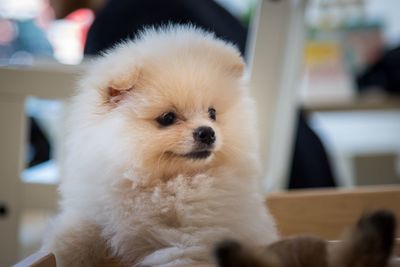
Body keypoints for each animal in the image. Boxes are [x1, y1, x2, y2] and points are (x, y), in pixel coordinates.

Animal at [41, 25, 278, 267]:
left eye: (212, 113)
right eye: (167, 118)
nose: (207, 132)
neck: (161, 185)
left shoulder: (187, 243)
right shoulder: (93, 214)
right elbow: (69, 240)